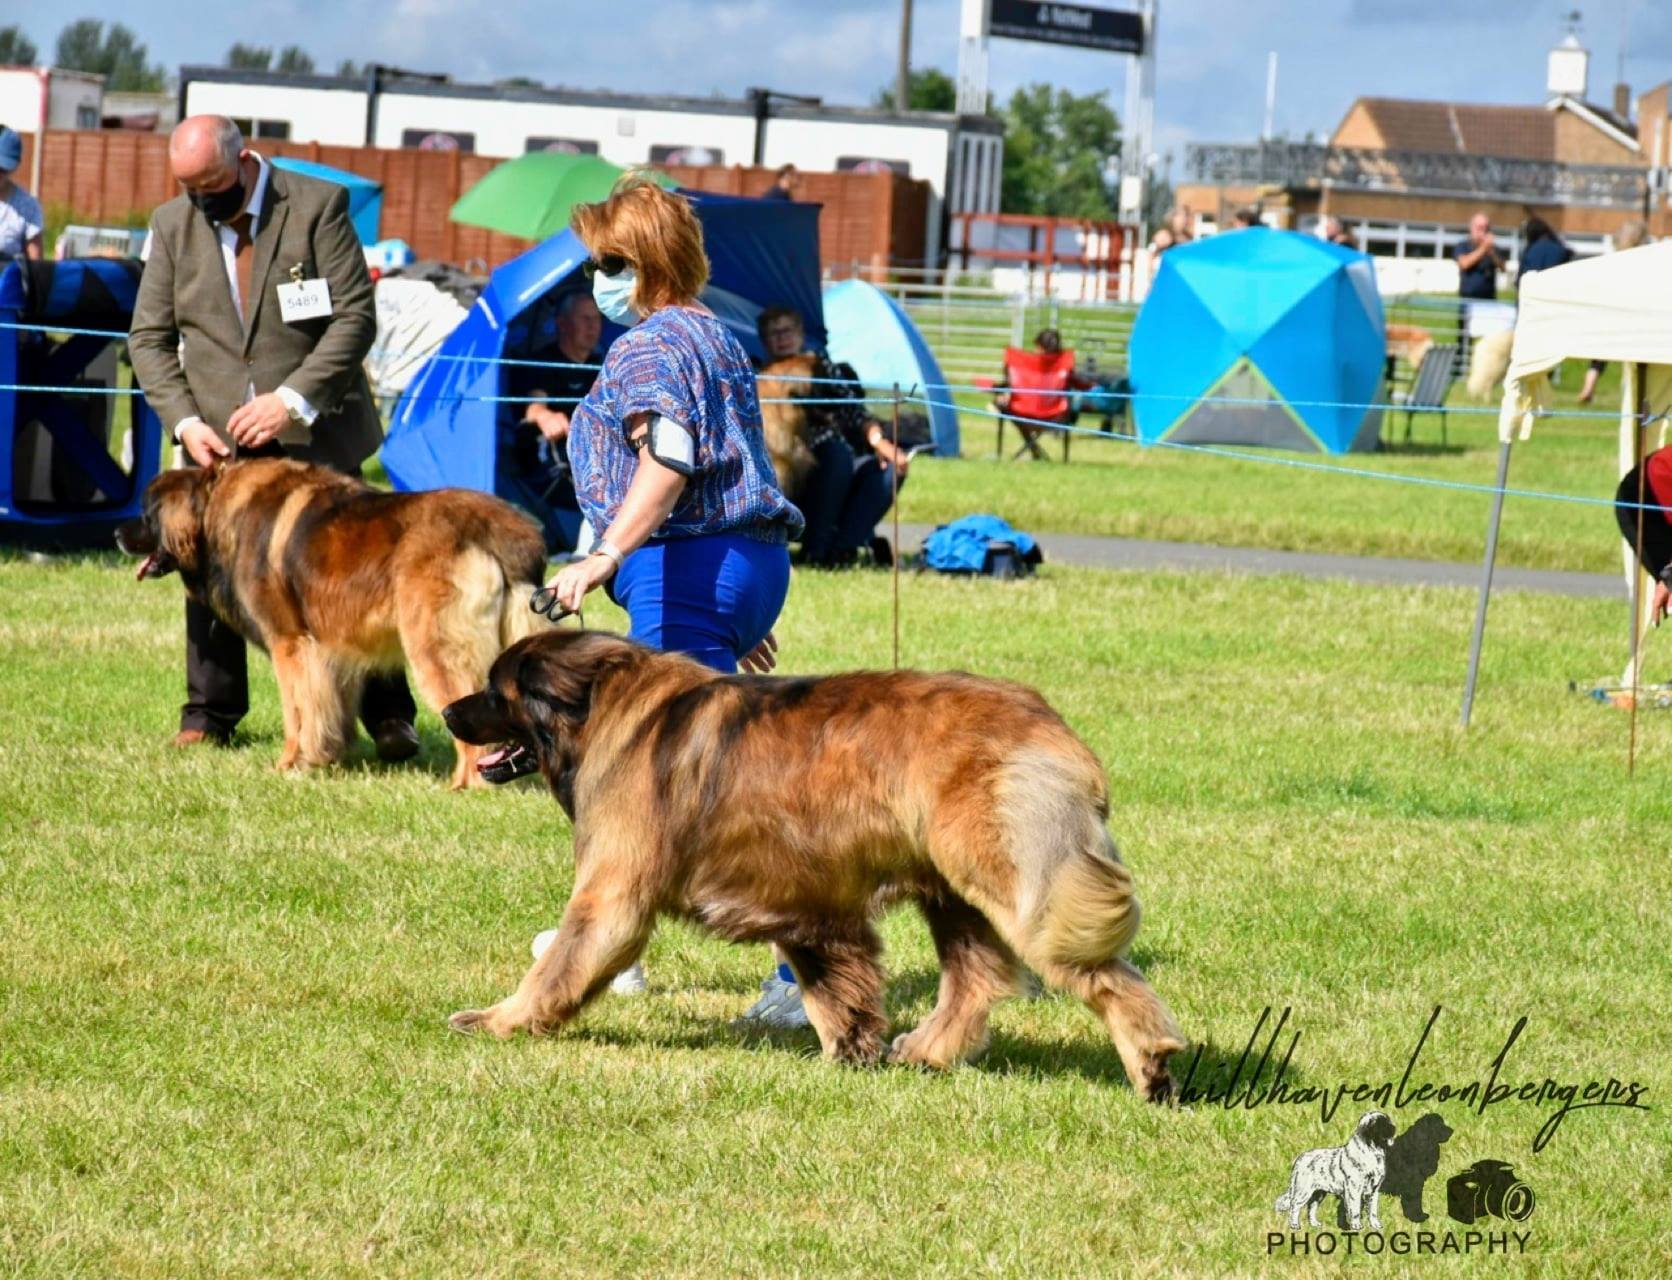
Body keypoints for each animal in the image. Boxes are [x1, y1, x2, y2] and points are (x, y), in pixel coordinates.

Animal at [119, 454, 548, 788]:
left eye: (146, 514)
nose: (118, 533)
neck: (213, 504)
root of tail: (499, 529)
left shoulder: (290, 644)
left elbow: (296, 711)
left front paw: (288, 763)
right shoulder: (331, 649)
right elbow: (330, 706)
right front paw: (329, 758)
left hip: (435, 647)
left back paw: (466, 783)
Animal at [438, 631, 1183, 1102]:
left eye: (495, 691)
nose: (446, 710)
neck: (603, 708)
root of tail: (1051, 726)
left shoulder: (614, 892)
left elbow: (559, 963)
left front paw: (500, 1020)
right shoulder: (805, 900)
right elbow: (833, 986)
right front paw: (852, 1051)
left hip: (1018, 884)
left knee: (1103, 977)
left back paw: (1152, 1068)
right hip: (953, 892)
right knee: (976, 978)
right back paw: (926, 1052)